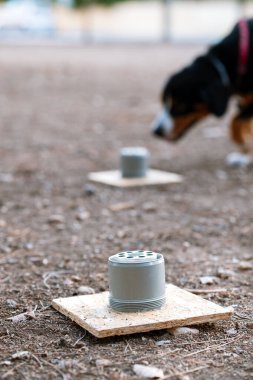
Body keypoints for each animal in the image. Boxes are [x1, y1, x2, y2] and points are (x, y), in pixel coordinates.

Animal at [152, 18, 253, 166]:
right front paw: (244, 155)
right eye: (163, 102)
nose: (156, 131)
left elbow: (235, 122)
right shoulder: (244, 101)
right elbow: (241, 124)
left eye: (180, 106)